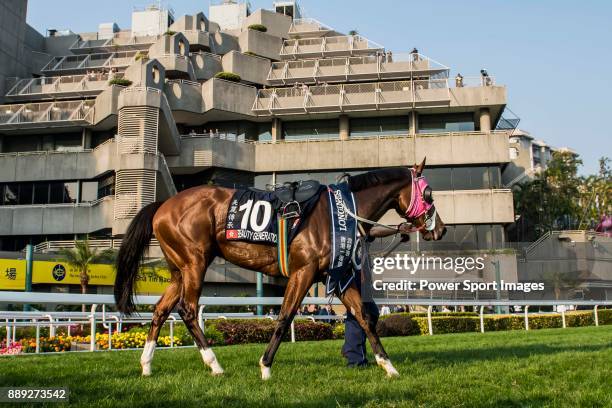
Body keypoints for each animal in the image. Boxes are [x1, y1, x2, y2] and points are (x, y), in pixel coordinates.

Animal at [113, 159, 444, 380]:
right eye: (429, 194)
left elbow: (363, 317)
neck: (340, 212)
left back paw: (146, 365)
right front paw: (265, 367)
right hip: (196, 263)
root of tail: (163, 204)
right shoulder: (304, 271)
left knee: (160, 310)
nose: (440, 229)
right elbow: (285, 317)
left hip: (179, 269)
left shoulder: (333, 274)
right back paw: (214, 364)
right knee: (188, 309)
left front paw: (388, 366)